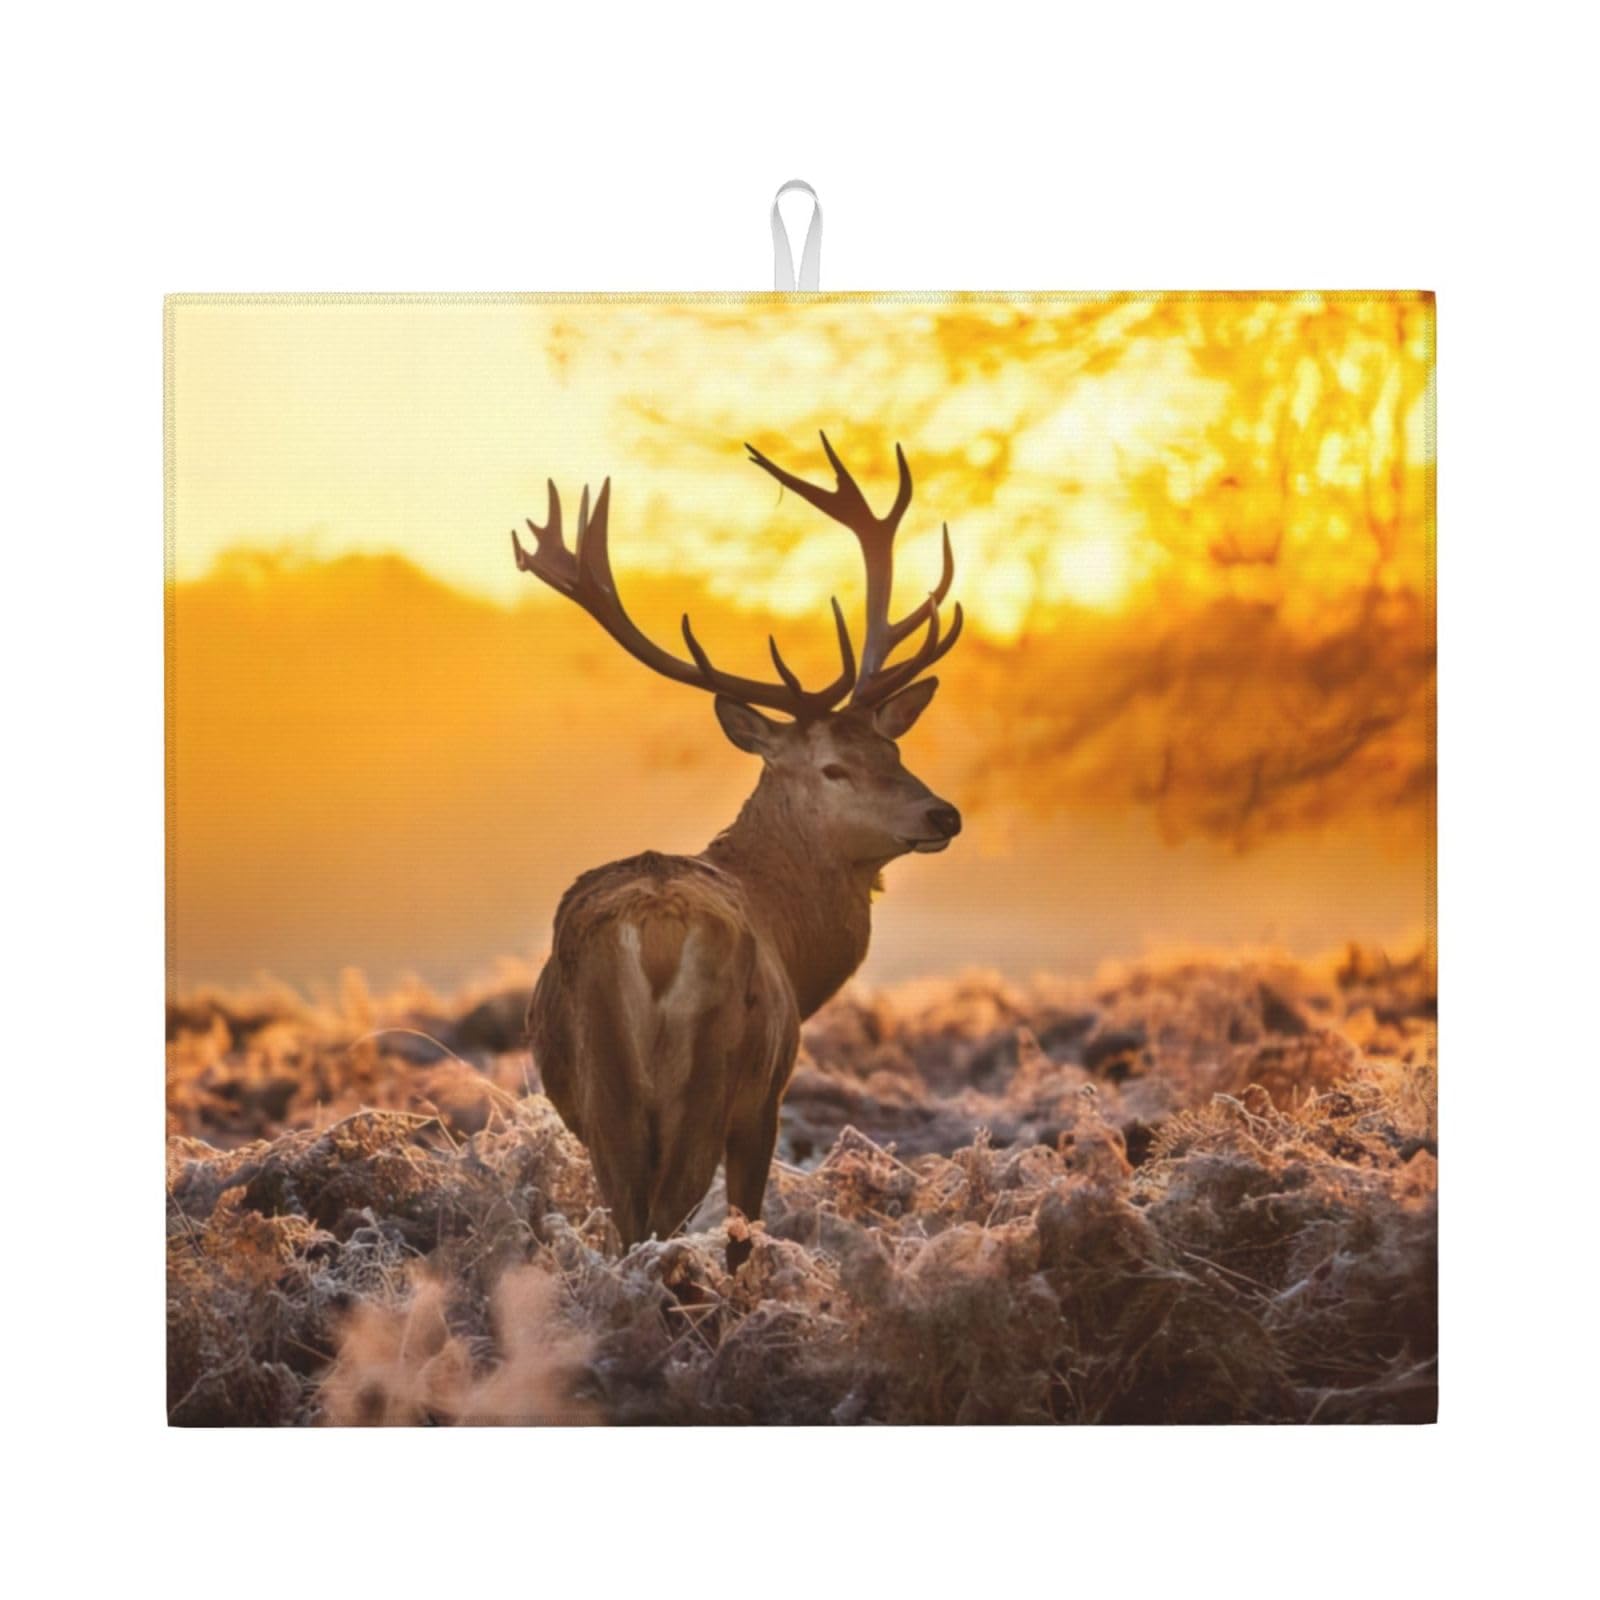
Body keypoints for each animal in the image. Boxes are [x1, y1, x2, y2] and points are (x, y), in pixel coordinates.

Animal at [512, 433, 964, 1269]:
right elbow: (744, 1233)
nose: (942, 812)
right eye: (833, 767)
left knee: (629, 1223)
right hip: (710, 1080)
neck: (793, 939)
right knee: (664, 1224)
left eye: (893, 747)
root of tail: (652, 934)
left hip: (603, 1098)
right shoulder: (768, 1097)